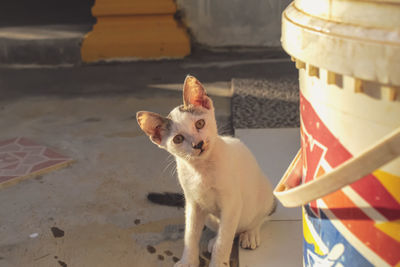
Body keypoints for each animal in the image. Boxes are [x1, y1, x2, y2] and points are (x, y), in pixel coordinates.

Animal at [137, 75, 276, 267]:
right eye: (178, 139)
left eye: (200, 123)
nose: (198, 144)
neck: (202, 170)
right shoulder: (192, 203)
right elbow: (190, 236)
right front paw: (187, 261)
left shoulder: (232, 203)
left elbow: (224, 241)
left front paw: (218, 262)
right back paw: (215, 239)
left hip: (264, 194)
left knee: (260, 217)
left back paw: (250, 233)